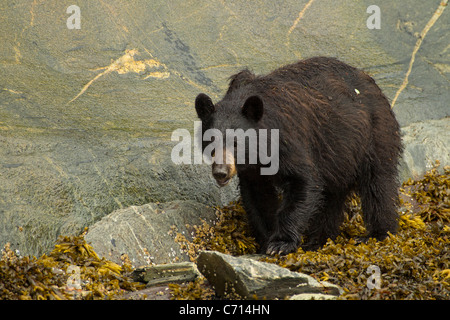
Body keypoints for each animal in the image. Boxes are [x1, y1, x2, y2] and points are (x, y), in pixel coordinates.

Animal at [193, 56, 400, 254]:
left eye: (236, 143)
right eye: (211, 142)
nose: (221, 172)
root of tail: (371, 81)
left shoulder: (290, 140)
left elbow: (303, 182)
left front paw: (280, 243)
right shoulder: (252, 169)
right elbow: (258, 197)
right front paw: (266, 239)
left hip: (372, 135)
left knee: (378, 184)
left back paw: (377, 234)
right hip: (339, 155)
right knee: (332, 196)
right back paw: (319, 240)